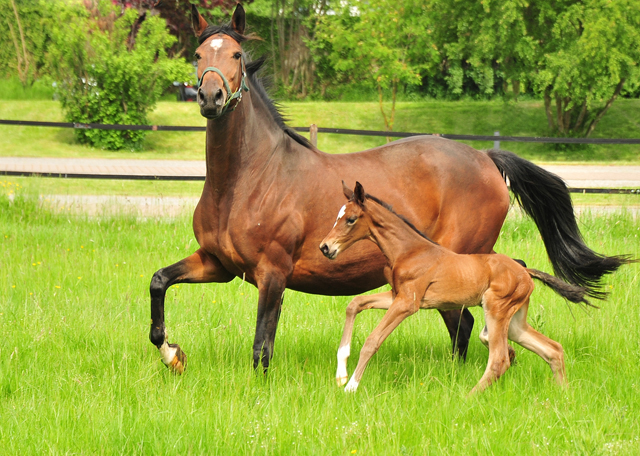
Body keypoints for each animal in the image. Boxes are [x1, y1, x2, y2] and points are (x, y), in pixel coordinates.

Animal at [320, 183, 596, 394]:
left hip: (496, 308)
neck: (409, 250)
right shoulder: (396, 295)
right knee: (553, 349)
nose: (325, 247)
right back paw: (564, 394)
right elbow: (354, 304)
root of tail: (525, 272)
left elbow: (372, 340)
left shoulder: (408, 304)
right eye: (337, 216)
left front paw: (351, 387)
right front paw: (341, 374)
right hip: (515, 321)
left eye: (350, 219)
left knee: (499, 359)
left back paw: (469, 397)